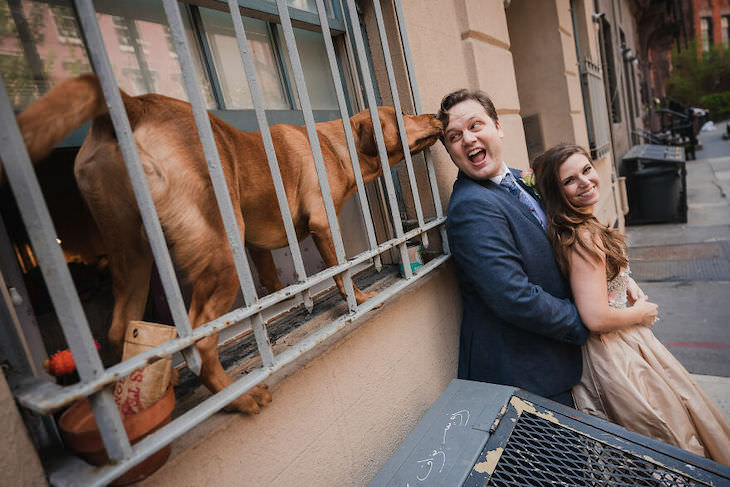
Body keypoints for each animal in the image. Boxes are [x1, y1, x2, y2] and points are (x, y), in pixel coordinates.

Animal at [15, 74, 438, 414]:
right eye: (403, 113)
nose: (436, 113)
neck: (336, 144)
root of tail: (133, 105)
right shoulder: (323, 223)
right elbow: (342, 272)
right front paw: (360, 299)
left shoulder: (258, 247)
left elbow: (273, 286)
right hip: (220, 254)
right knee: (201, 341)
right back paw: (238, 398)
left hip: (132, 254)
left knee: (121, 329)